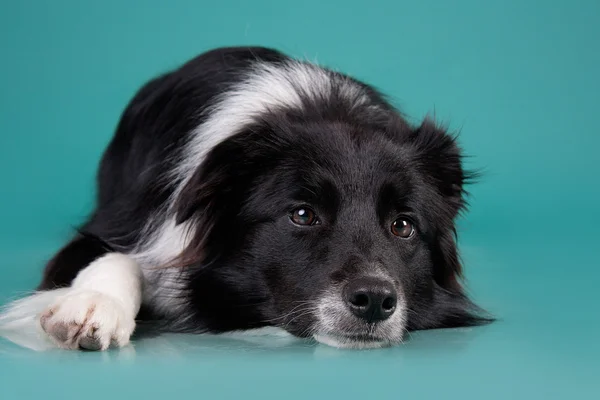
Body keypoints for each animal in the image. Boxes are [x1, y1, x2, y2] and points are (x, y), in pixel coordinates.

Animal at [0, 47, 488, 352]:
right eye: (303, 215)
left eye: (403, 225)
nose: (374, 301)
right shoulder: (118, 225)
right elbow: (119, 256)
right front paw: (94, 304)